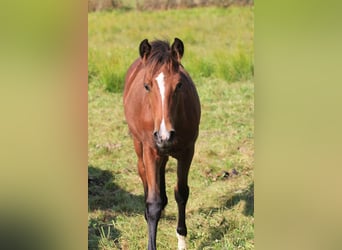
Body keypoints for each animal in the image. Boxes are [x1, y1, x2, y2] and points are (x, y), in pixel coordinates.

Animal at [123, 37, 200, 250]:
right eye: (147, 86)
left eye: (179, 85)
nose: (164, 136)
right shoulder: (151, 150)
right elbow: (153, 203)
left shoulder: (187, 151)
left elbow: (181, 193)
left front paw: (182, 240)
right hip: (140, 144)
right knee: (143, 171)